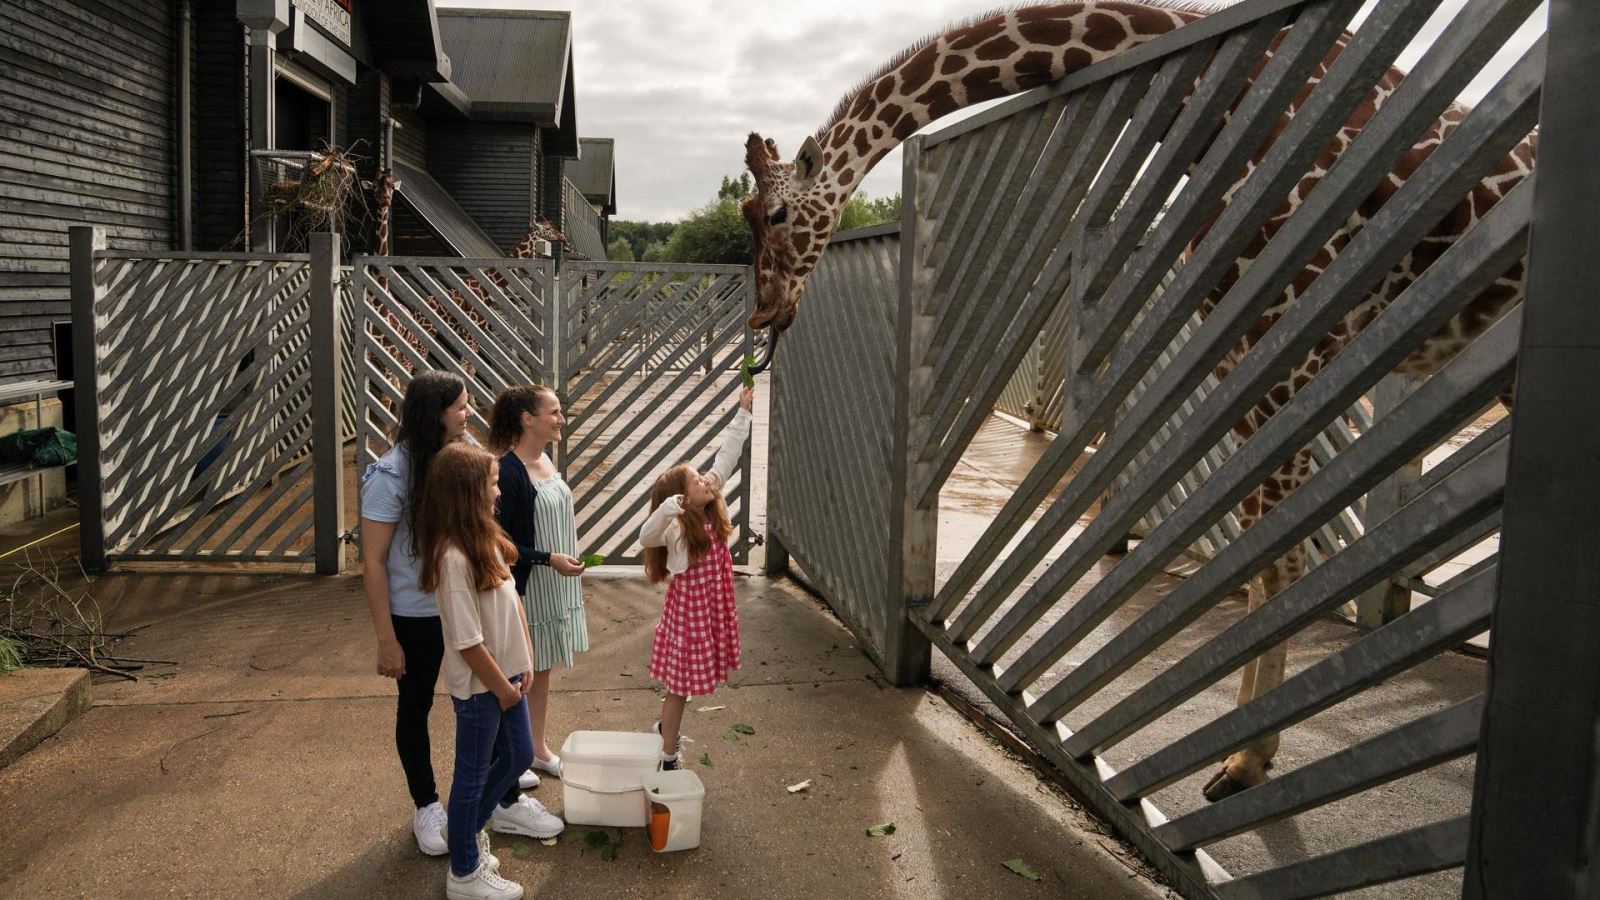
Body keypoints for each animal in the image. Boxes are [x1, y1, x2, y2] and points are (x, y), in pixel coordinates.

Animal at [742, 0, 1542, 797]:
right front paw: (1248, 751)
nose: (765, 310)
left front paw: (1246, 761)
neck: (1231, 106)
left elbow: (1278, 557)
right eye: (747, 217)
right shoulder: (1246, 344)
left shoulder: (1290, 333)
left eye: (775, 215)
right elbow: (1261, 550)